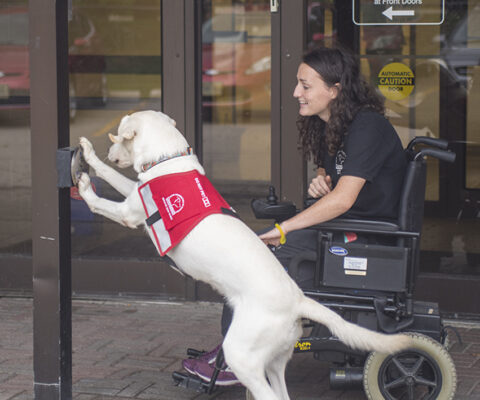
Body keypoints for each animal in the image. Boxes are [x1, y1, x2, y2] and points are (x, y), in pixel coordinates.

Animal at [78, 110, 412, 400]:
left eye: (119, 135)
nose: (109, 150)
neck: (168, 159)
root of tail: (299, 299)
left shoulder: (129, 213)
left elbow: (98, 201)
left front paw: (83, 185)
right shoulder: (135, 193)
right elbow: (112, 176)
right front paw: (90, 157)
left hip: (242, 355)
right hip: (274, 362)